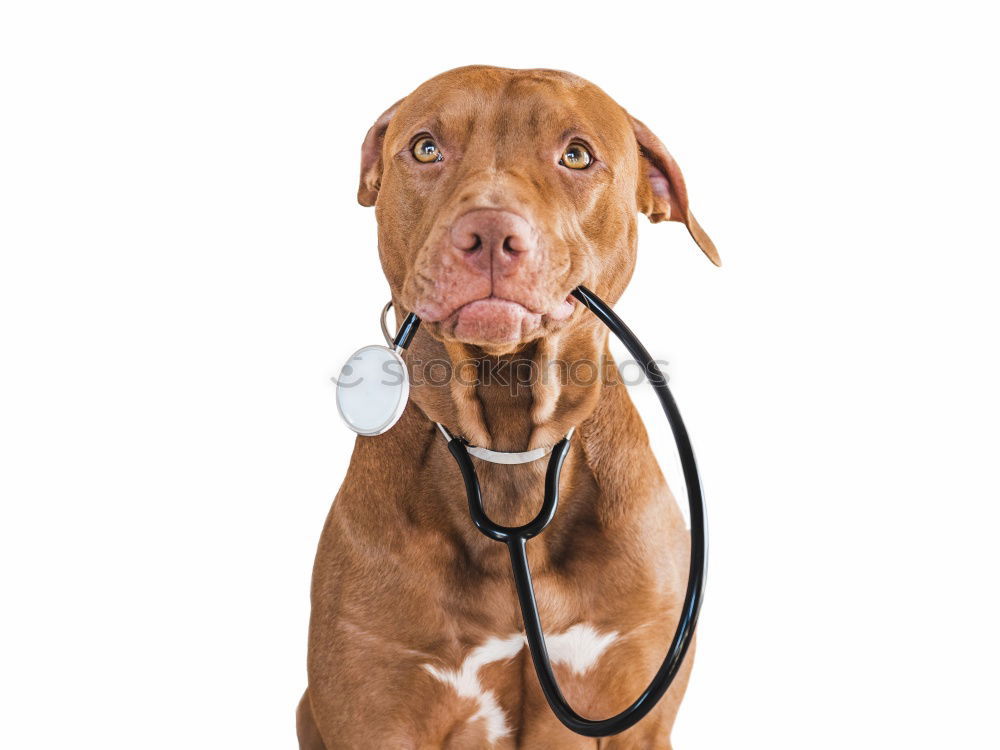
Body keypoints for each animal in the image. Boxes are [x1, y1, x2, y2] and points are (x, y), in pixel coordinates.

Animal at [298, 67, 720, 748]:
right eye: (426, 148)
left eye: (576, 156)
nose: (491, 234)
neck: (509, 443)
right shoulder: (374, 706)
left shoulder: (639, 712)